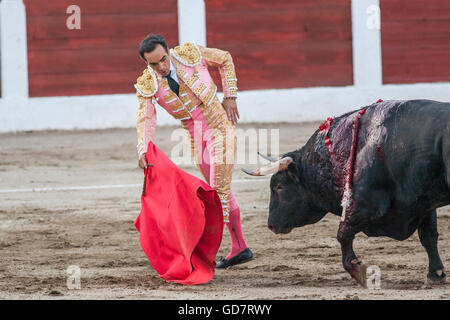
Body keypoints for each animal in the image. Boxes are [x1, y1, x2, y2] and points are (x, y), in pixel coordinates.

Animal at [244, 99, 450, 286]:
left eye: (279, 186)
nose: (271, 224)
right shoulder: (423, 203)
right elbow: (429, 236)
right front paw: (436, 274)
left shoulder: (366, 205)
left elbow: (342, 234)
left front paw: (359, 272)